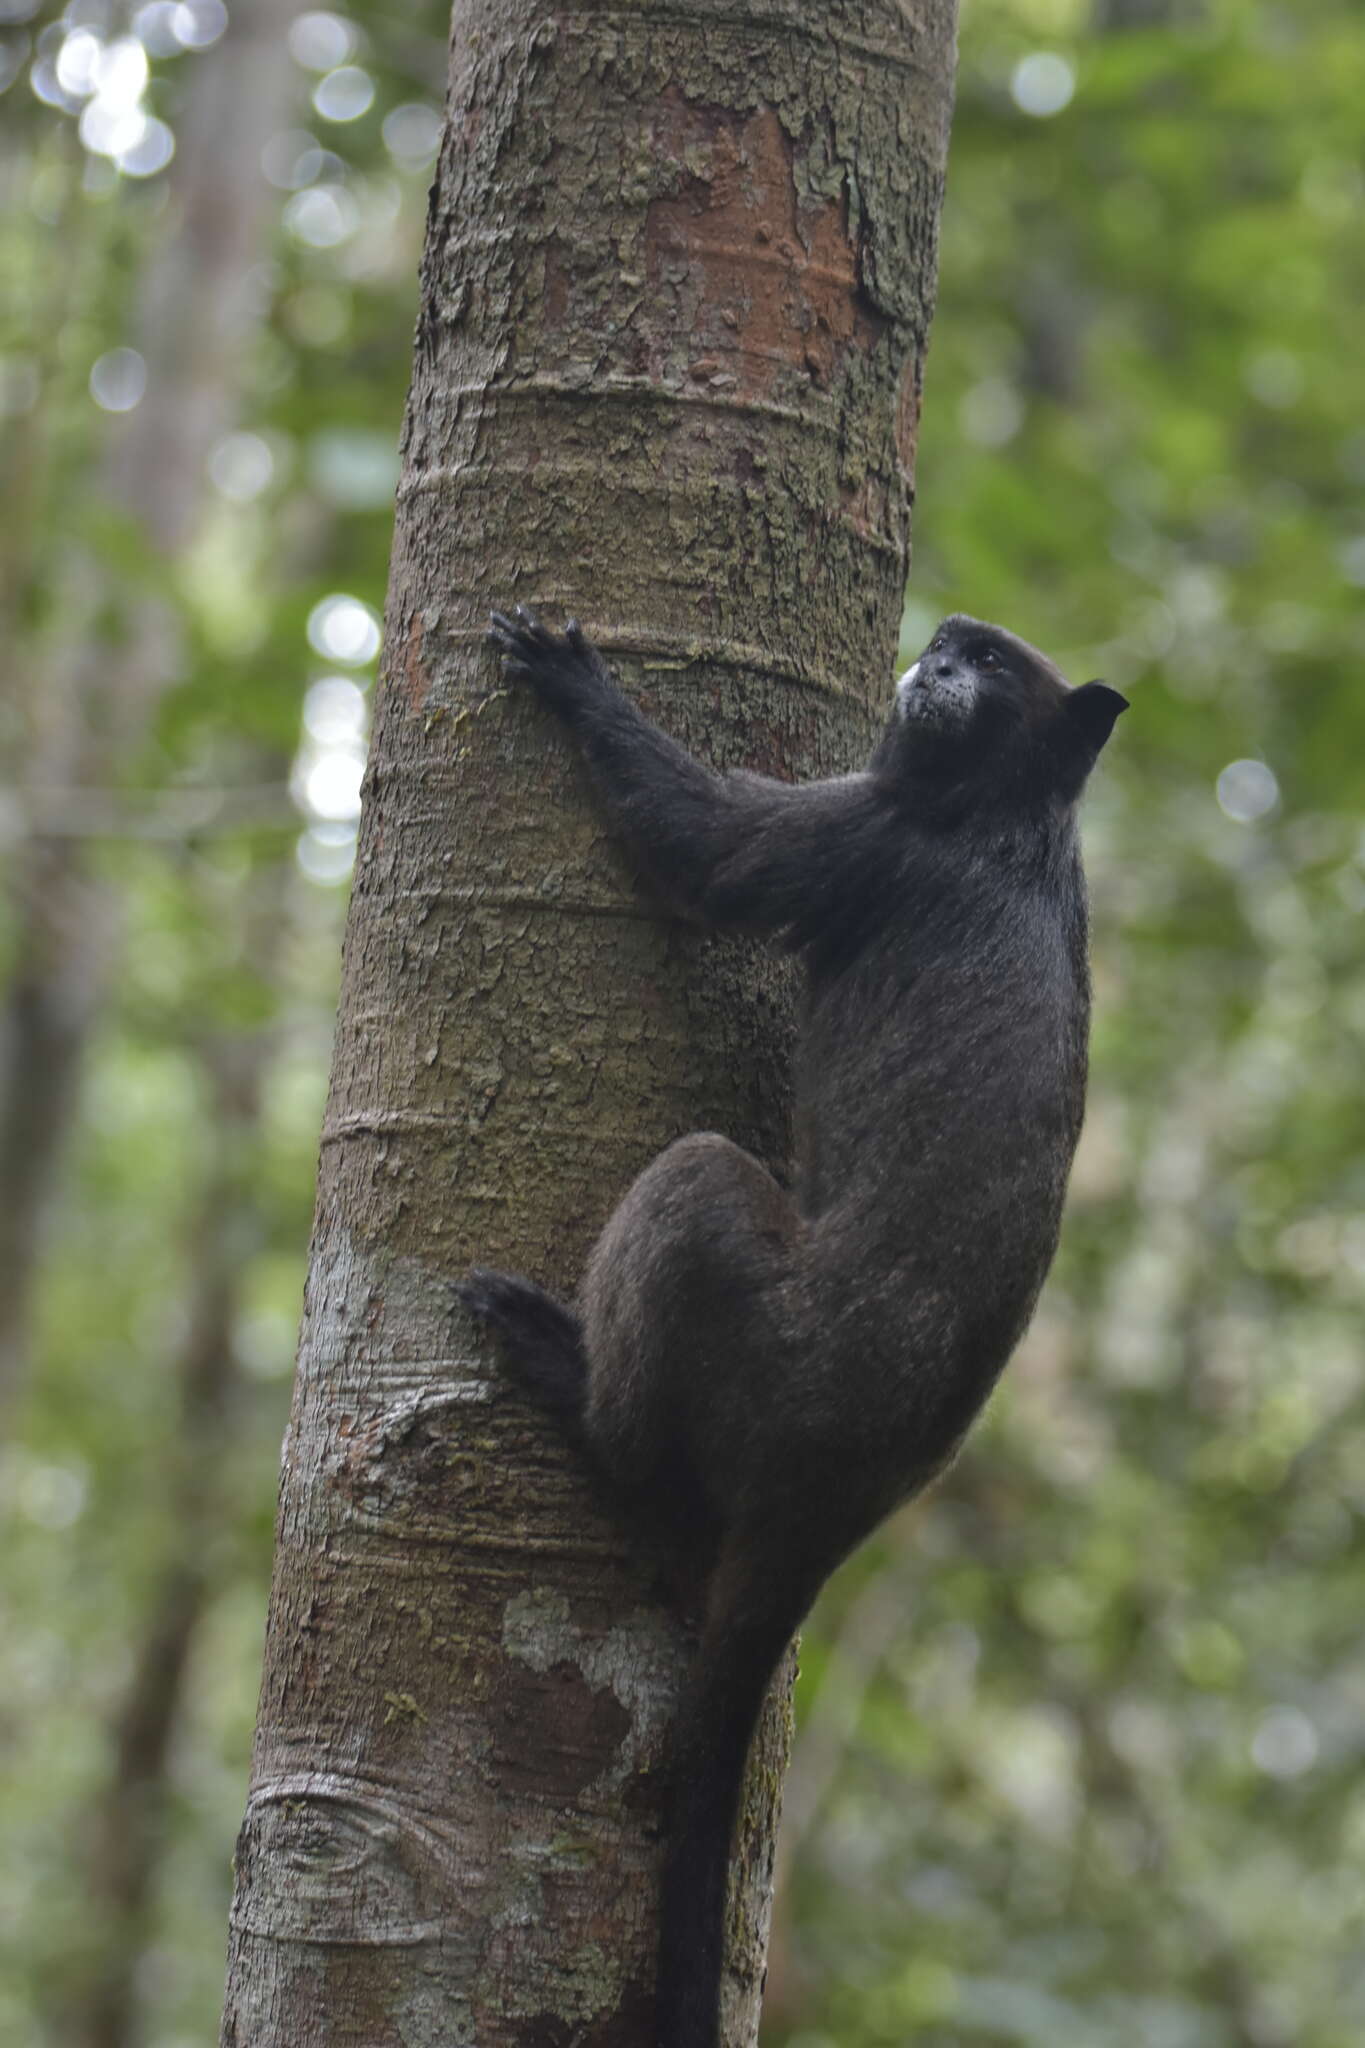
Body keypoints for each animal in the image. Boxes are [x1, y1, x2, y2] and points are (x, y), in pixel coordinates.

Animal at [464, 606, 1129, 2048]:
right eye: (950, 644)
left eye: (992, 665)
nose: (933, 663)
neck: (1011, 818)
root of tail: (839, 1503)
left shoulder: (847, 840)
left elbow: (703, 842)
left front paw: (572, 679)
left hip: (710, 1215)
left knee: (643, 1443)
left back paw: (557, 1365)